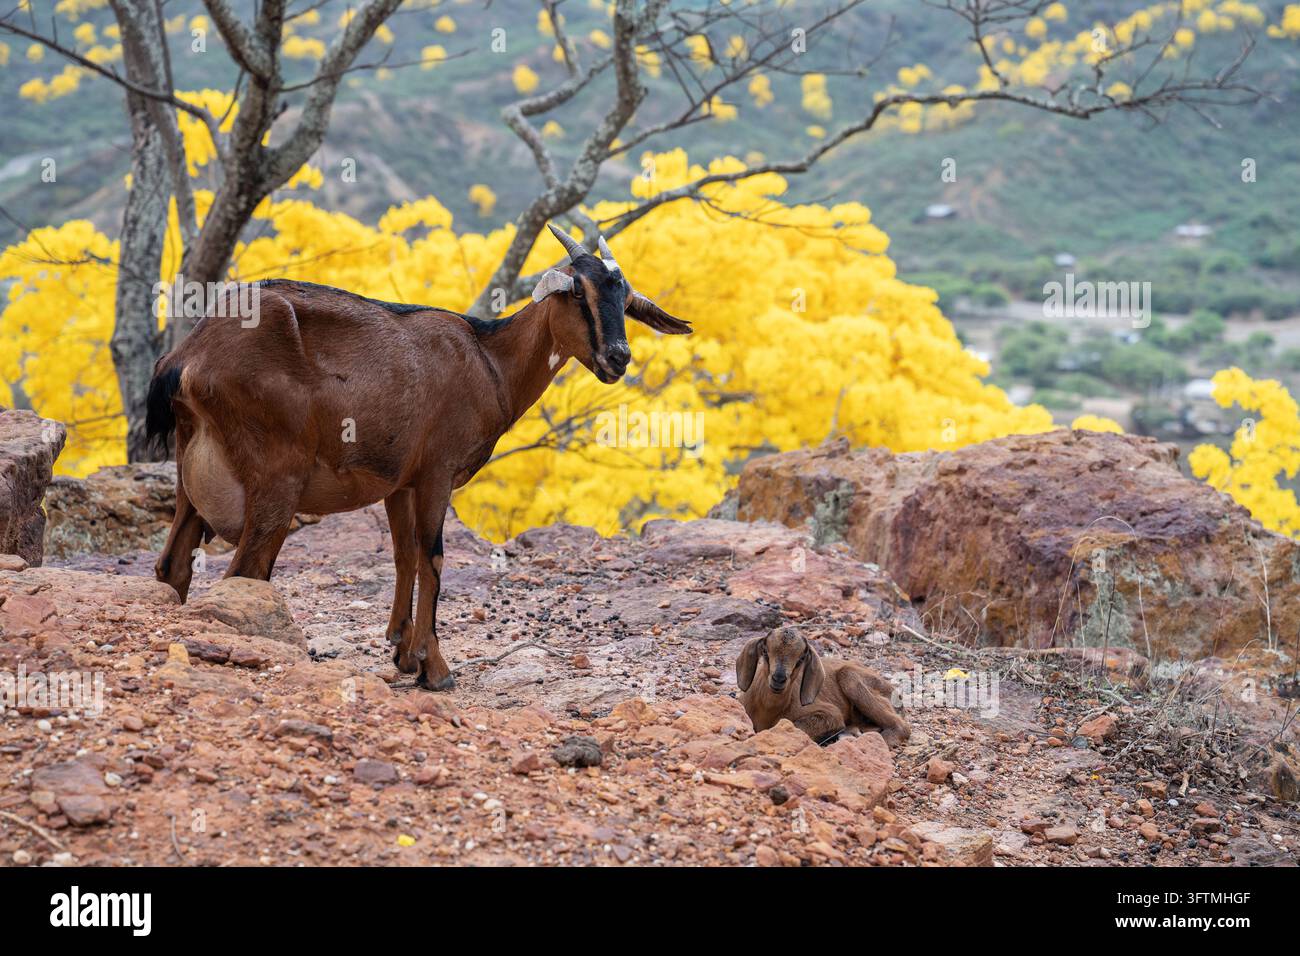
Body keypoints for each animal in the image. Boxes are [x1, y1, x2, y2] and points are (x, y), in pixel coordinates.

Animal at [144, 224, 691, 691]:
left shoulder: (398, 481)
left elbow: (404, 555)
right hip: (276, 479)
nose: (617, 357)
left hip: (191, 474)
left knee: (174, 566)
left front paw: (402, 651)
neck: (489, 360)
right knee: (245, 571)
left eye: (624, 298)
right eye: (578, 292)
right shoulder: (436, 474)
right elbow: (433, 557)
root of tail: (186, 359)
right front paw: (435, 668)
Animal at [736, 627, 910, 747]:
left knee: (903, 727)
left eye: (801, 659)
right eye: (765, 652)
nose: (778, 679)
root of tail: (896, 694)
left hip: (850, 679)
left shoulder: (831, 713)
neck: (768, 710)